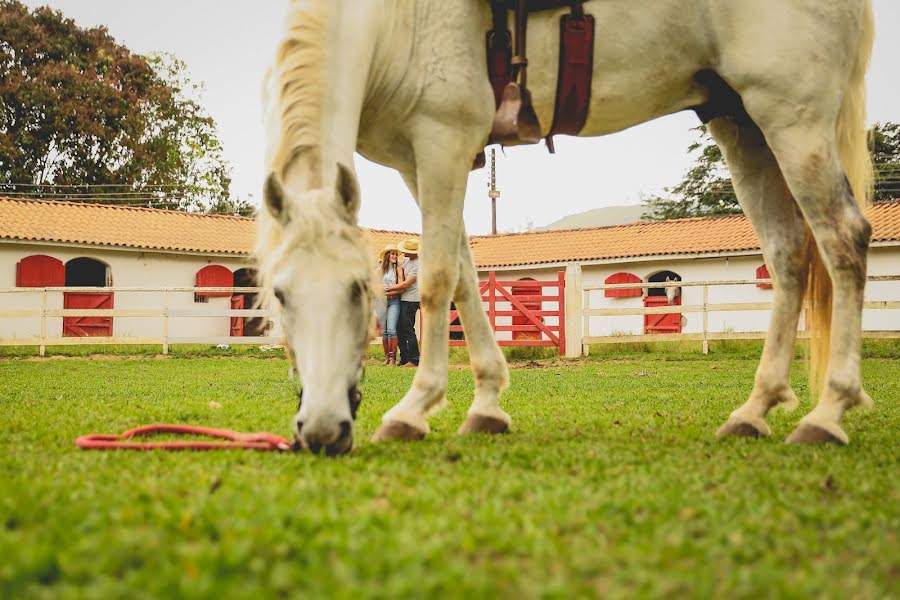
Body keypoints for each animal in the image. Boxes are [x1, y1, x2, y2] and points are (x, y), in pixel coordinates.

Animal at [256, 0, 876, 452]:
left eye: (360, 290)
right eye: (280, 295)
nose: (321, 430)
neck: (393, 21)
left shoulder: (441, 141)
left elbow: (435, 279)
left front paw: (413, 410)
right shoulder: (420, 158)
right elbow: (465, 277)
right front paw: (486, 405)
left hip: (792, 116)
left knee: (842, 240)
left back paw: (827, 413)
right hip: (740, 119)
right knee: (788, 255)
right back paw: (756, 409)